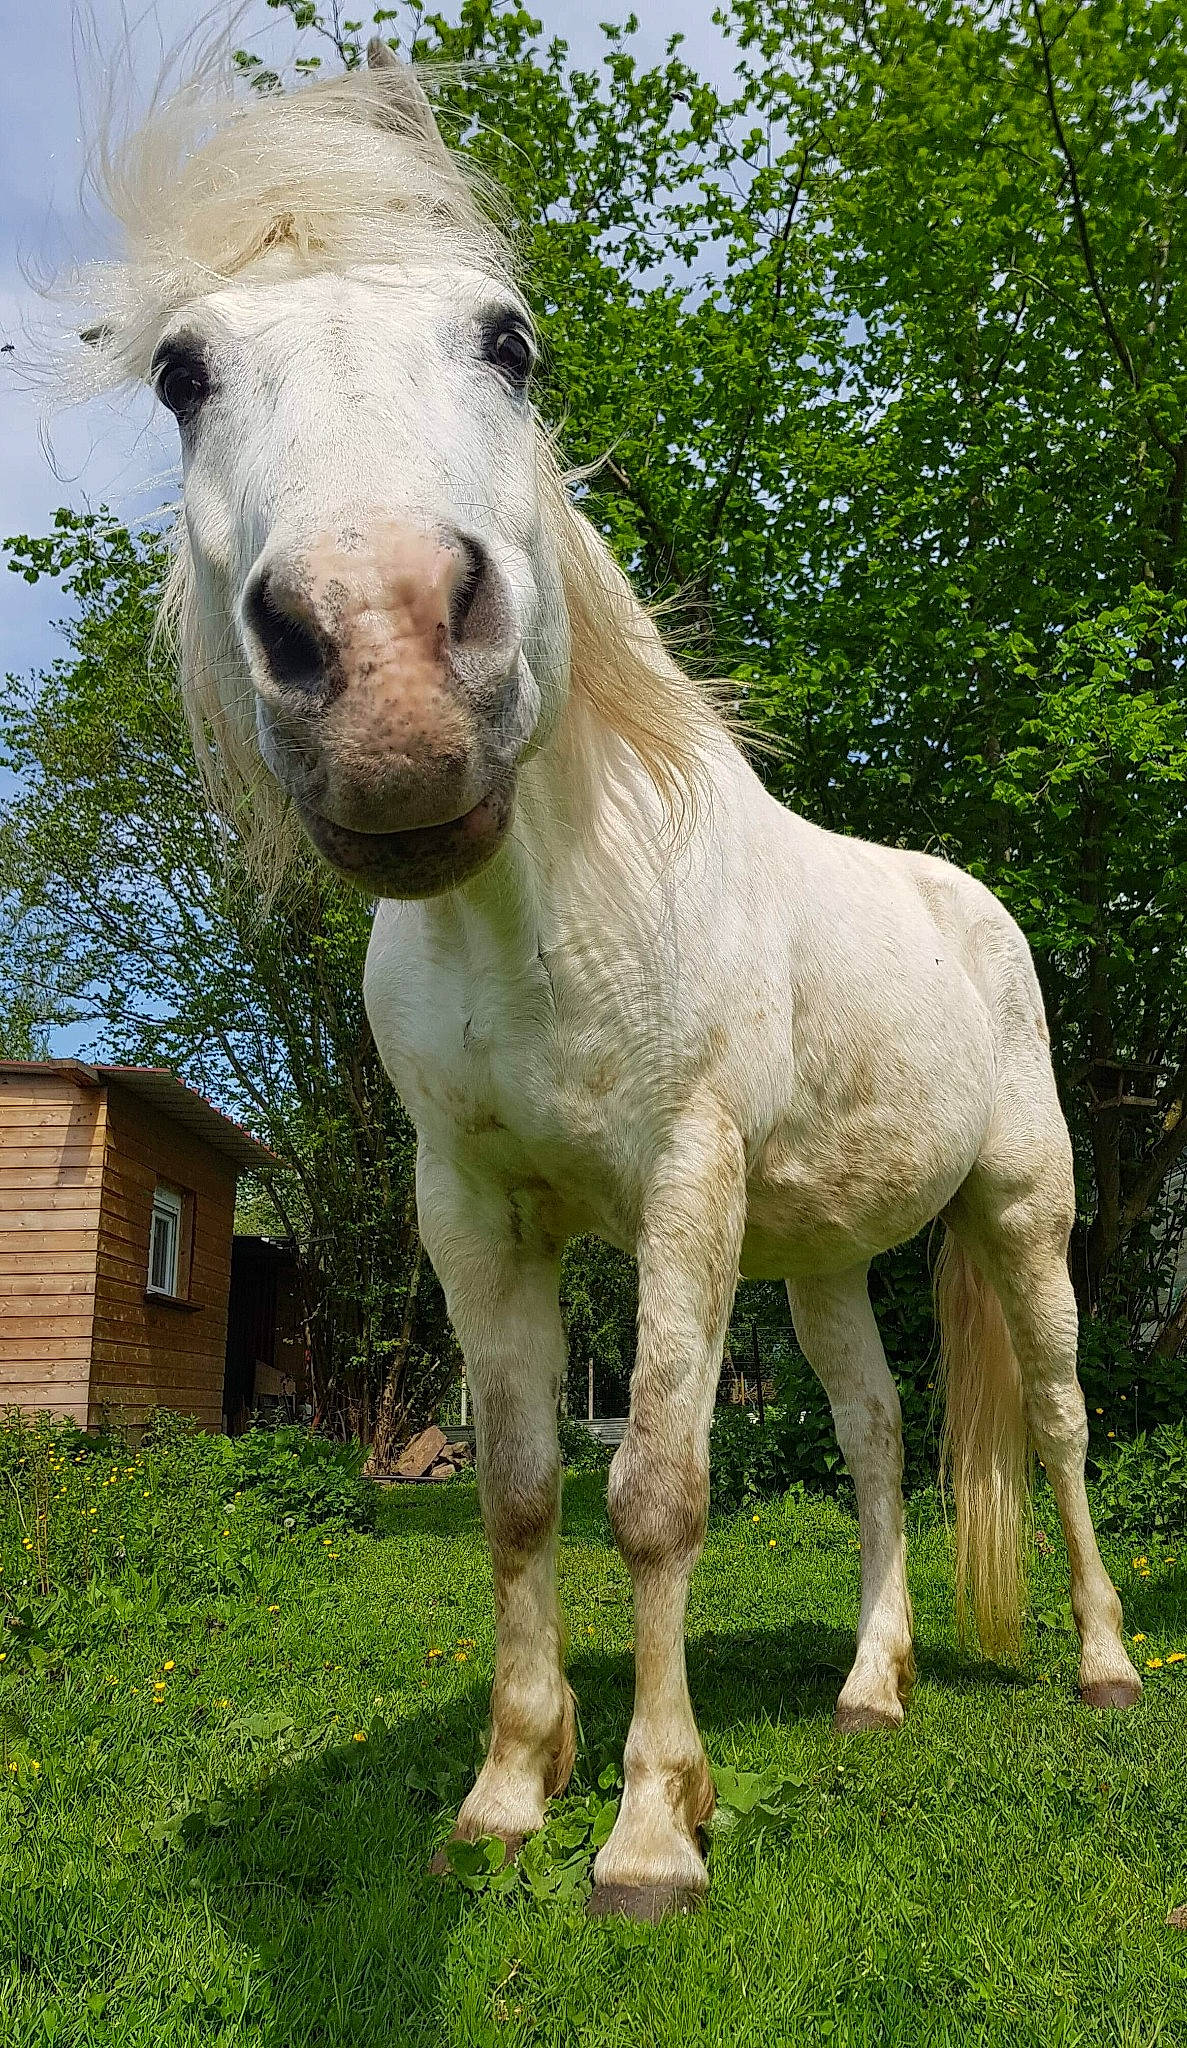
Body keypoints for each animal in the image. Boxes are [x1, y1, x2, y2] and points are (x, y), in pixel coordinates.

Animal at [79, 41, 1140, 1920]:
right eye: (183, 373)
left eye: (509, 340)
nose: (386, 659)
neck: (543, 916)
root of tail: (970, 907)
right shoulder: (473, 1212)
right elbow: (517, 1492)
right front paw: (508, 1795)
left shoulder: (679, 1187)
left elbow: (653, 1488)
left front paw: (650, 1828)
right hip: (820, 1262)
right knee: (877, 1436)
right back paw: (872, 1688)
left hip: (1022, 1212)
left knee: (1063, 1423)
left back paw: (1098, 1665)